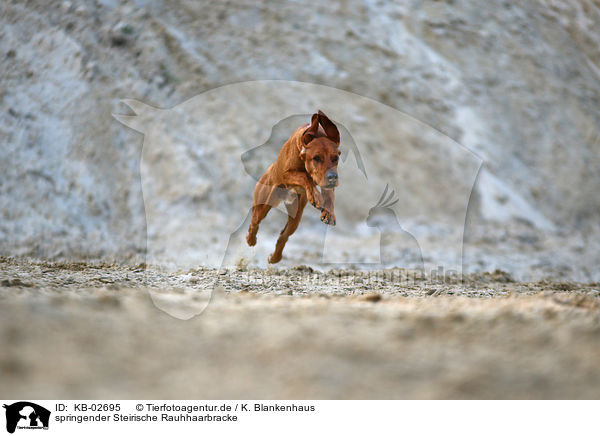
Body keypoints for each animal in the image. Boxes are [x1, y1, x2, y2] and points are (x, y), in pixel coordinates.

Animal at [245, 110, 340, 264]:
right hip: (263, 202)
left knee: (284, 234)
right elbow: (304, 177)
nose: (332, 177)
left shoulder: (328, 181)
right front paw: (316, 196)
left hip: (296, 215)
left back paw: (275, 257)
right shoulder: (286, 174)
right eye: (316, 158)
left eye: (335, 158)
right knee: (255, 221)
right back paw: (250, 239)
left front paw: (329, 213)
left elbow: (329, 195)